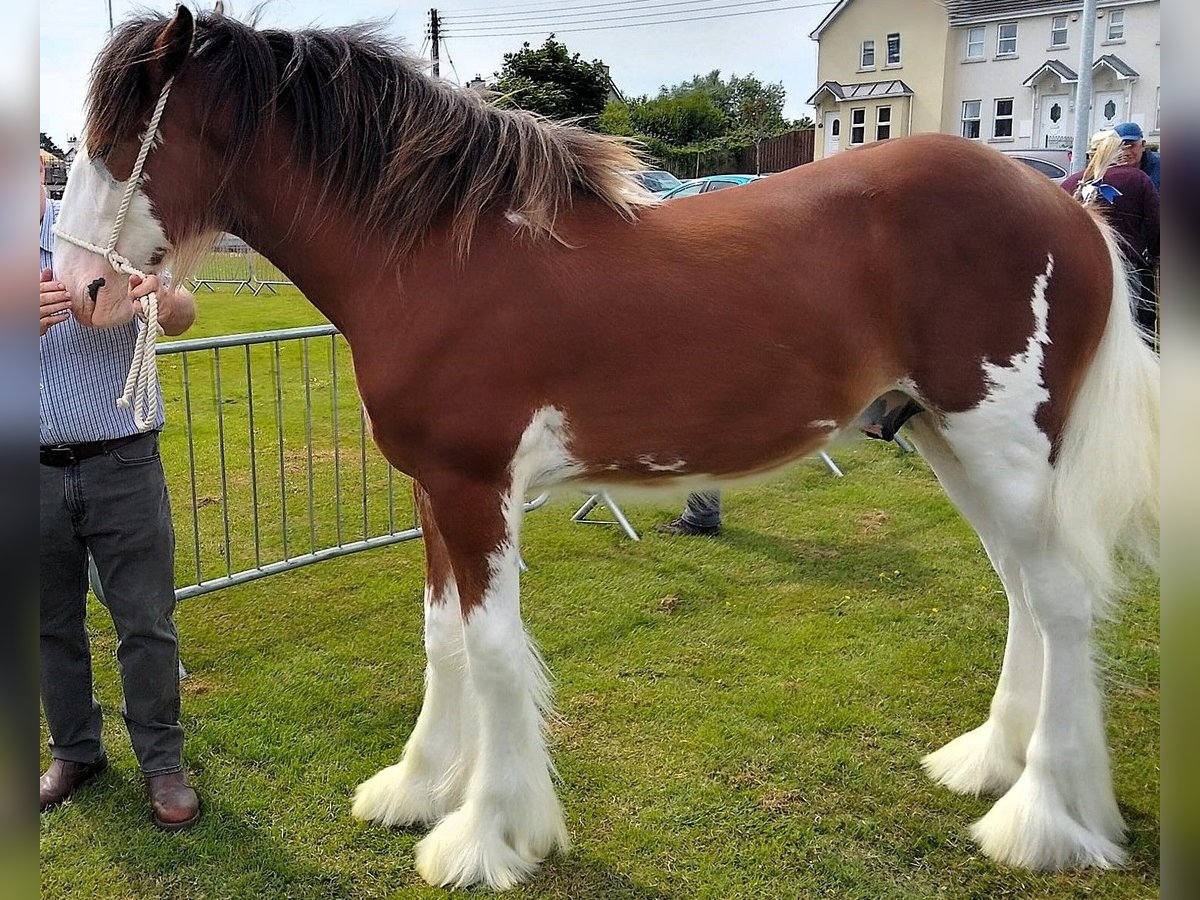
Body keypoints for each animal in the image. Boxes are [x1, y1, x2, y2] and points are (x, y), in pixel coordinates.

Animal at [54, 7, 1152, 892]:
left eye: (117, 139)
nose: (84, 291)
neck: (440, 252)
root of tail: (1063, 202)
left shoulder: (476, 490)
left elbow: (496, 654)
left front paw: (489, 835)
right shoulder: (431, 494)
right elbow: (441, 638)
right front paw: (418, 788)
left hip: (1003, 448)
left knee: (1059, 603)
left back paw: (1042, 819)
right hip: (948, 442)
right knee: (1022, 595)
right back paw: (988, 763)